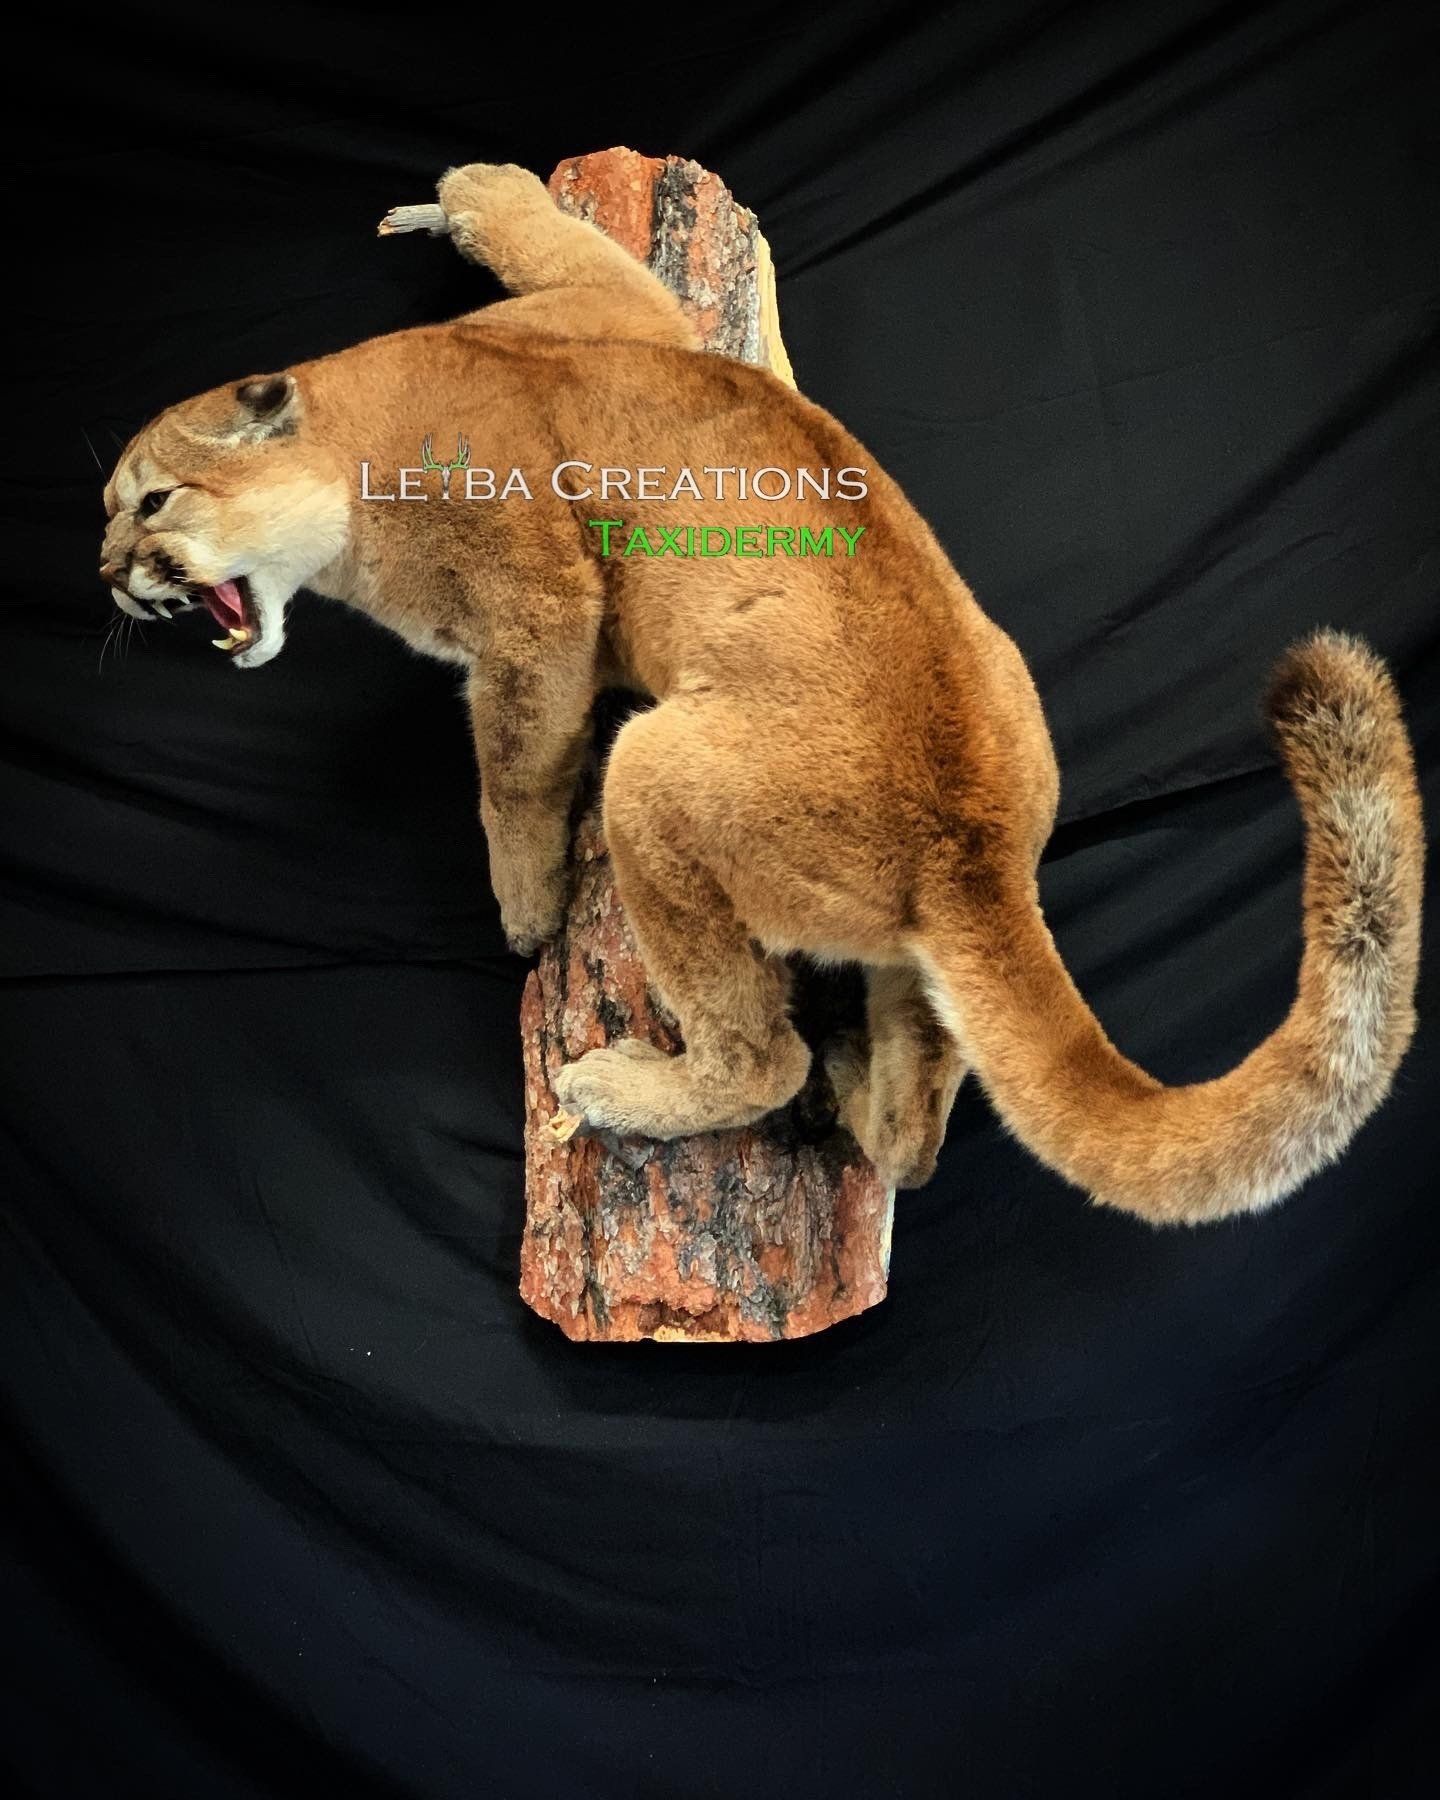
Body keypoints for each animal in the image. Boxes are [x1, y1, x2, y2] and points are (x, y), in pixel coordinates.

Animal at [99, 162, 1424, 1220]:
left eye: (152, 501)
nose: (109, 576)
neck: (359, 415)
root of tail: (982, 848)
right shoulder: (616, 311)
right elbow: (555, 229)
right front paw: (454, 197)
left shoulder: (538, 604)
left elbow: (516, 767)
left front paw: (523, 909)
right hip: (924, 924)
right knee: (917, 1132)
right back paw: (861, 1093)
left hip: (657, 776)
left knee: (756, 1057)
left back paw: (632, 1086)